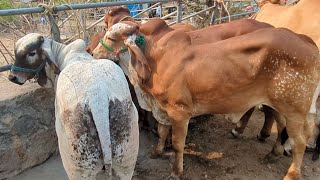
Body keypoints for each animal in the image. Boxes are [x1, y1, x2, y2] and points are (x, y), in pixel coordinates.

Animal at [92, 19, 320, 179]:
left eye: (111, 38)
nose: (93, 54)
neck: (155, 60)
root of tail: (307, 42)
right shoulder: (163, 109)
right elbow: (162, 131)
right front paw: (157, 152)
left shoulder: (180, 112)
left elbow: (178, 144)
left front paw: (176, 172)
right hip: (281, 106)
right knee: (281, 127)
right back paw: (272, 153)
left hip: (295, 110)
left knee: (300, 142)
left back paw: (291, 173)